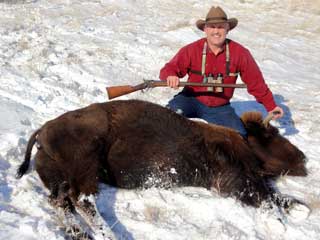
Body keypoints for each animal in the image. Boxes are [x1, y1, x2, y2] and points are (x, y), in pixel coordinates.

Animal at [16, 99, 308, 212]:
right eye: (270, 135)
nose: (304, 158)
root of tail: (43, 129)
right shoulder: (236, 181)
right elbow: (269, 197)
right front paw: (301, 209)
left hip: (61, 176)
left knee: (64, 201)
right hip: (86, 163)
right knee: (82, 201)